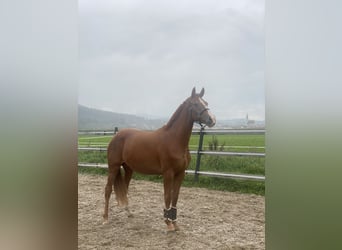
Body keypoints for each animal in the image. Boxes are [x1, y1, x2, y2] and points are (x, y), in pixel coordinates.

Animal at [103, 87, 216, 230]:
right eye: (195, 104)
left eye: (206, 103)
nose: (212, 120)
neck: (174, 140)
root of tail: (116, 136)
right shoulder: (168, 173)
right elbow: (167, 196)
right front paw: (168, 223)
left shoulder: (180, 173)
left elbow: (175, 197)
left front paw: (175, 223)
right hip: (113, 167)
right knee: (108, 190)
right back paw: (105, 218)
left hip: (128, 169)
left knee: (125, 189)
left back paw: (129, 213)